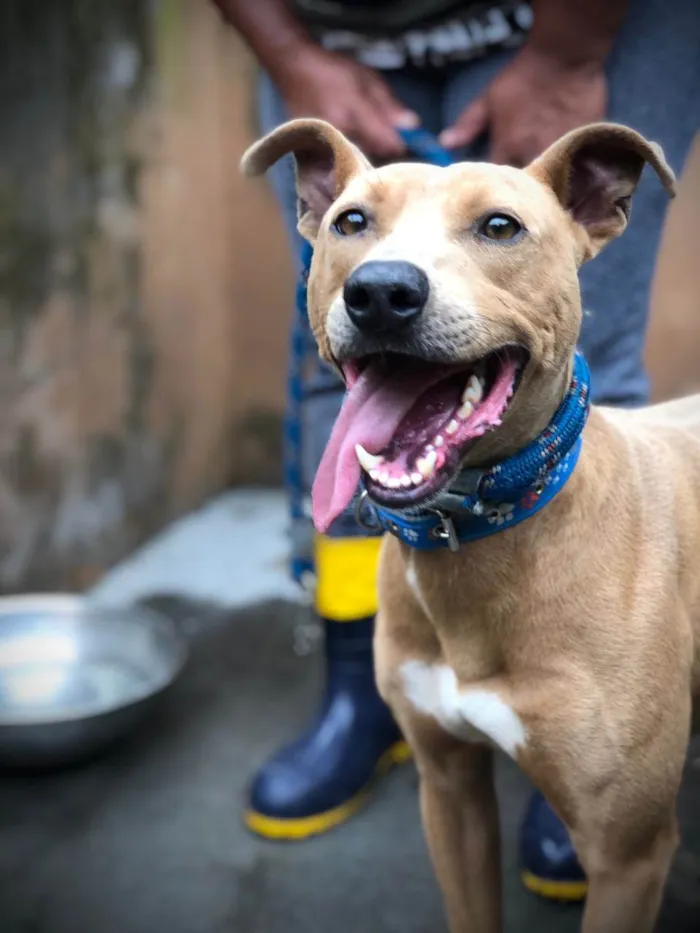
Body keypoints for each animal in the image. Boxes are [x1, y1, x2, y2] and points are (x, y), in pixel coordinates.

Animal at [242, 118, 700, 932]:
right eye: (350, 223)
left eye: (499, 227)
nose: (380, 292)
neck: (482, 538)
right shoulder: (449, 791)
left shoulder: (629, 855)